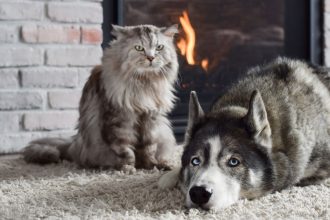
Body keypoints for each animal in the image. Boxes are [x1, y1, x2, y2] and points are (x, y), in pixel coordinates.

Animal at [23, 24, 179, 169]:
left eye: (159, 47)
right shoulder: (117, 122)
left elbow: (149, 149)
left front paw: (152, 165)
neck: (144, 84)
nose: (151, 57)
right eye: (139, 48)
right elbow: (126, 151)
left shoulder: (150, 119)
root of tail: (75, 143)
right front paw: (128, 168)